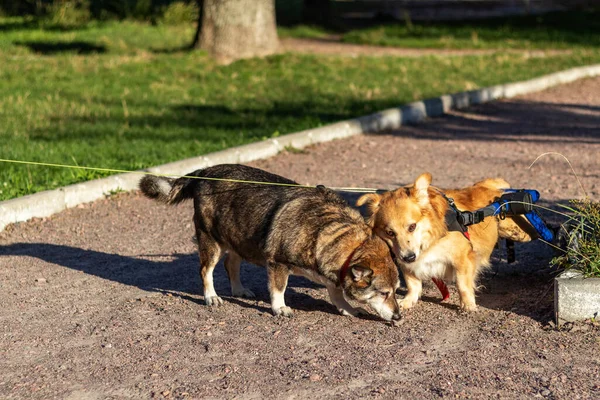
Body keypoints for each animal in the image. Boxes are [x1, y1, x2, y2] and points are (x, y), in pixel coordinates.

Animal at [358, 173, 524, 310]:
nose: (409, 257)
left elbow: (462, 284)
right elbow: (413, 285)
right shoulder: (405, 263)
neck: (428, 243)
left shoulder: (462, 258)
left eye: (412, 227)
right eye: (390, 233)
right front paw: (407, 301)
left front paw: (468, 305)